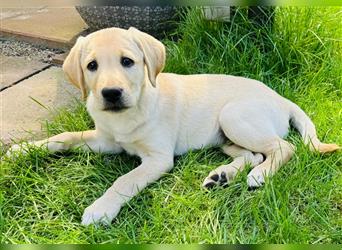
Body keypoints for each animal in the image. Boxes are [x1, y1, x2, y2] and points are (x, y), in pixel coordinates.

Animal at [6, 26, 340, 225]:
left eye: (127, 62)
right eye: (91, 66)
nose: (111, 93)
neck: (128, 113)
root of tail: (282, 98)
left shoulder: (158, 158)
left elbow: (124, 181)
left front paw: (101, 208)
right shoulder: (106, 140)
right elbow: (65, 136)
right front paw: (23, 149)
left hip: (234, 116)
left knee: (282, 147)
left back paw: (260, 175)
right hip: (225, 135)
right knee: (253, 154)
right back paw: (222, 175)